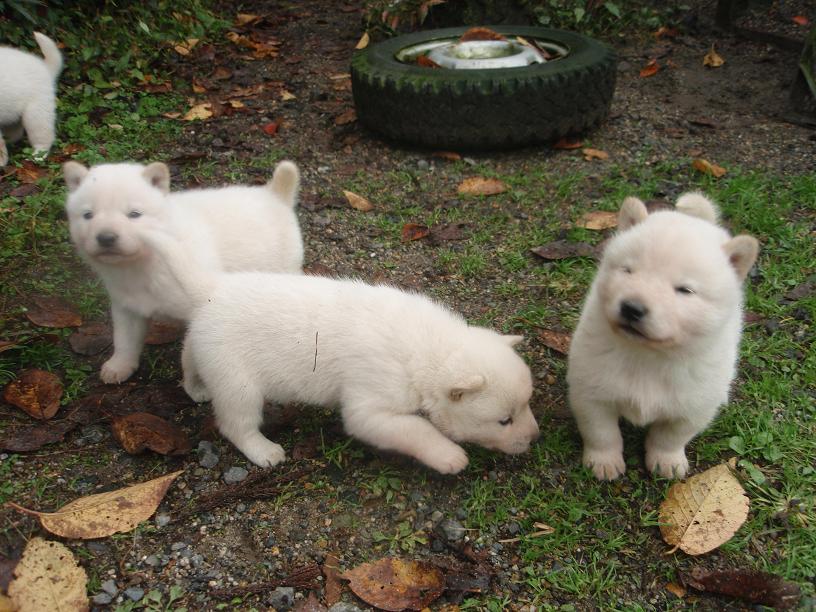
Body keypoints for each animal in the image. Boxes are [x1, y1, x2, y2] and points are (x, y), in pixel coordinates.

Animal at [63, 161, 304, 382]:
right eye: (88, 215)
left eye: (134, 214)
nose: (106, 238)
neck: (144, 264)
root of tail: (274, 194)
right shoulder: (127, 307)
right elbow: (124, 339)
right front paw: (119, 366)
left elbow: (190, 356)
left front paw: (197, 386)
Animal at [139, 226, 540, 474]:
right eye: (504, 420)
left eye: (526, 406)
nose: (535, 438)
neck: (428, 349)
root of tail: (213, 289)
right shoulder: (370, 408)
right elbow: (416, 429)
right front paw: (449, 455)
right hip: (238, 383)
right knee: (236, 425)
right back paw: (264, 450)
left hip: (208, 350)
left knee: (188, 355)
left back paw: (195, 387)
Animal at [568, 191, 760, 478]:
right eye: (628, 270)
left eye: (684, 290)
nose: (632, 308)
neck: (649, 356)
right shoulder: (591, 391)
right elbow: (602, 432)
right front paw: (604, 462)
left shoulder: (694, 406)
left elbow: (670, 437)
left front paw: (666, 462)